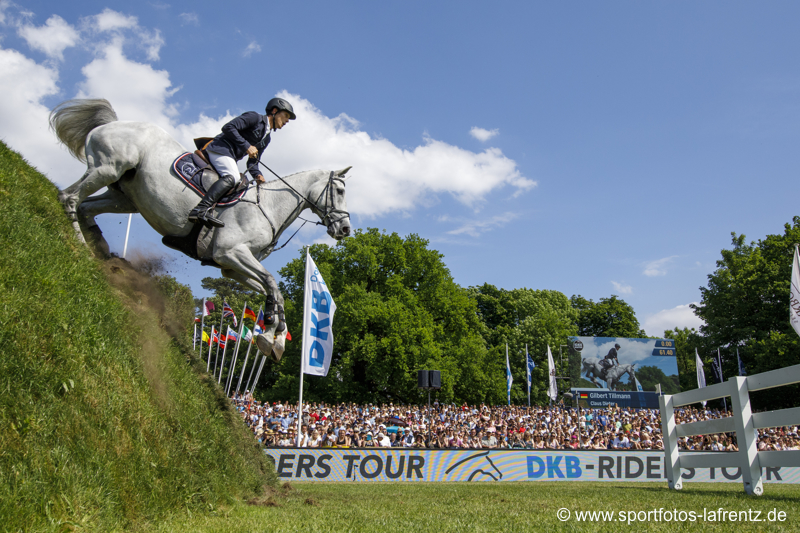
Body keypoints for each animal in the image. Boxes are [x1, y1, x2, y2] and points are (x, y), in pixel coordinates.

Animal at [50, 98, 350, 360]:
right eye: (339, 191)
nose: (345, 229)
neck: (268, 206)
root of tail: (112, 124)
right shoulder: (230, 253)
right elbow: (272, 284)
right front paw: (270, 335)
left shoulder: (230, 267)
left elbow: (274, 292)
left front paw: (274, 339)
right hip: (108, 169)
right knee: (70, 198)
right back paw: (82, 248)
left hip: (123, 196)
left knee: (86, 207)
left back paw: (99, 246)